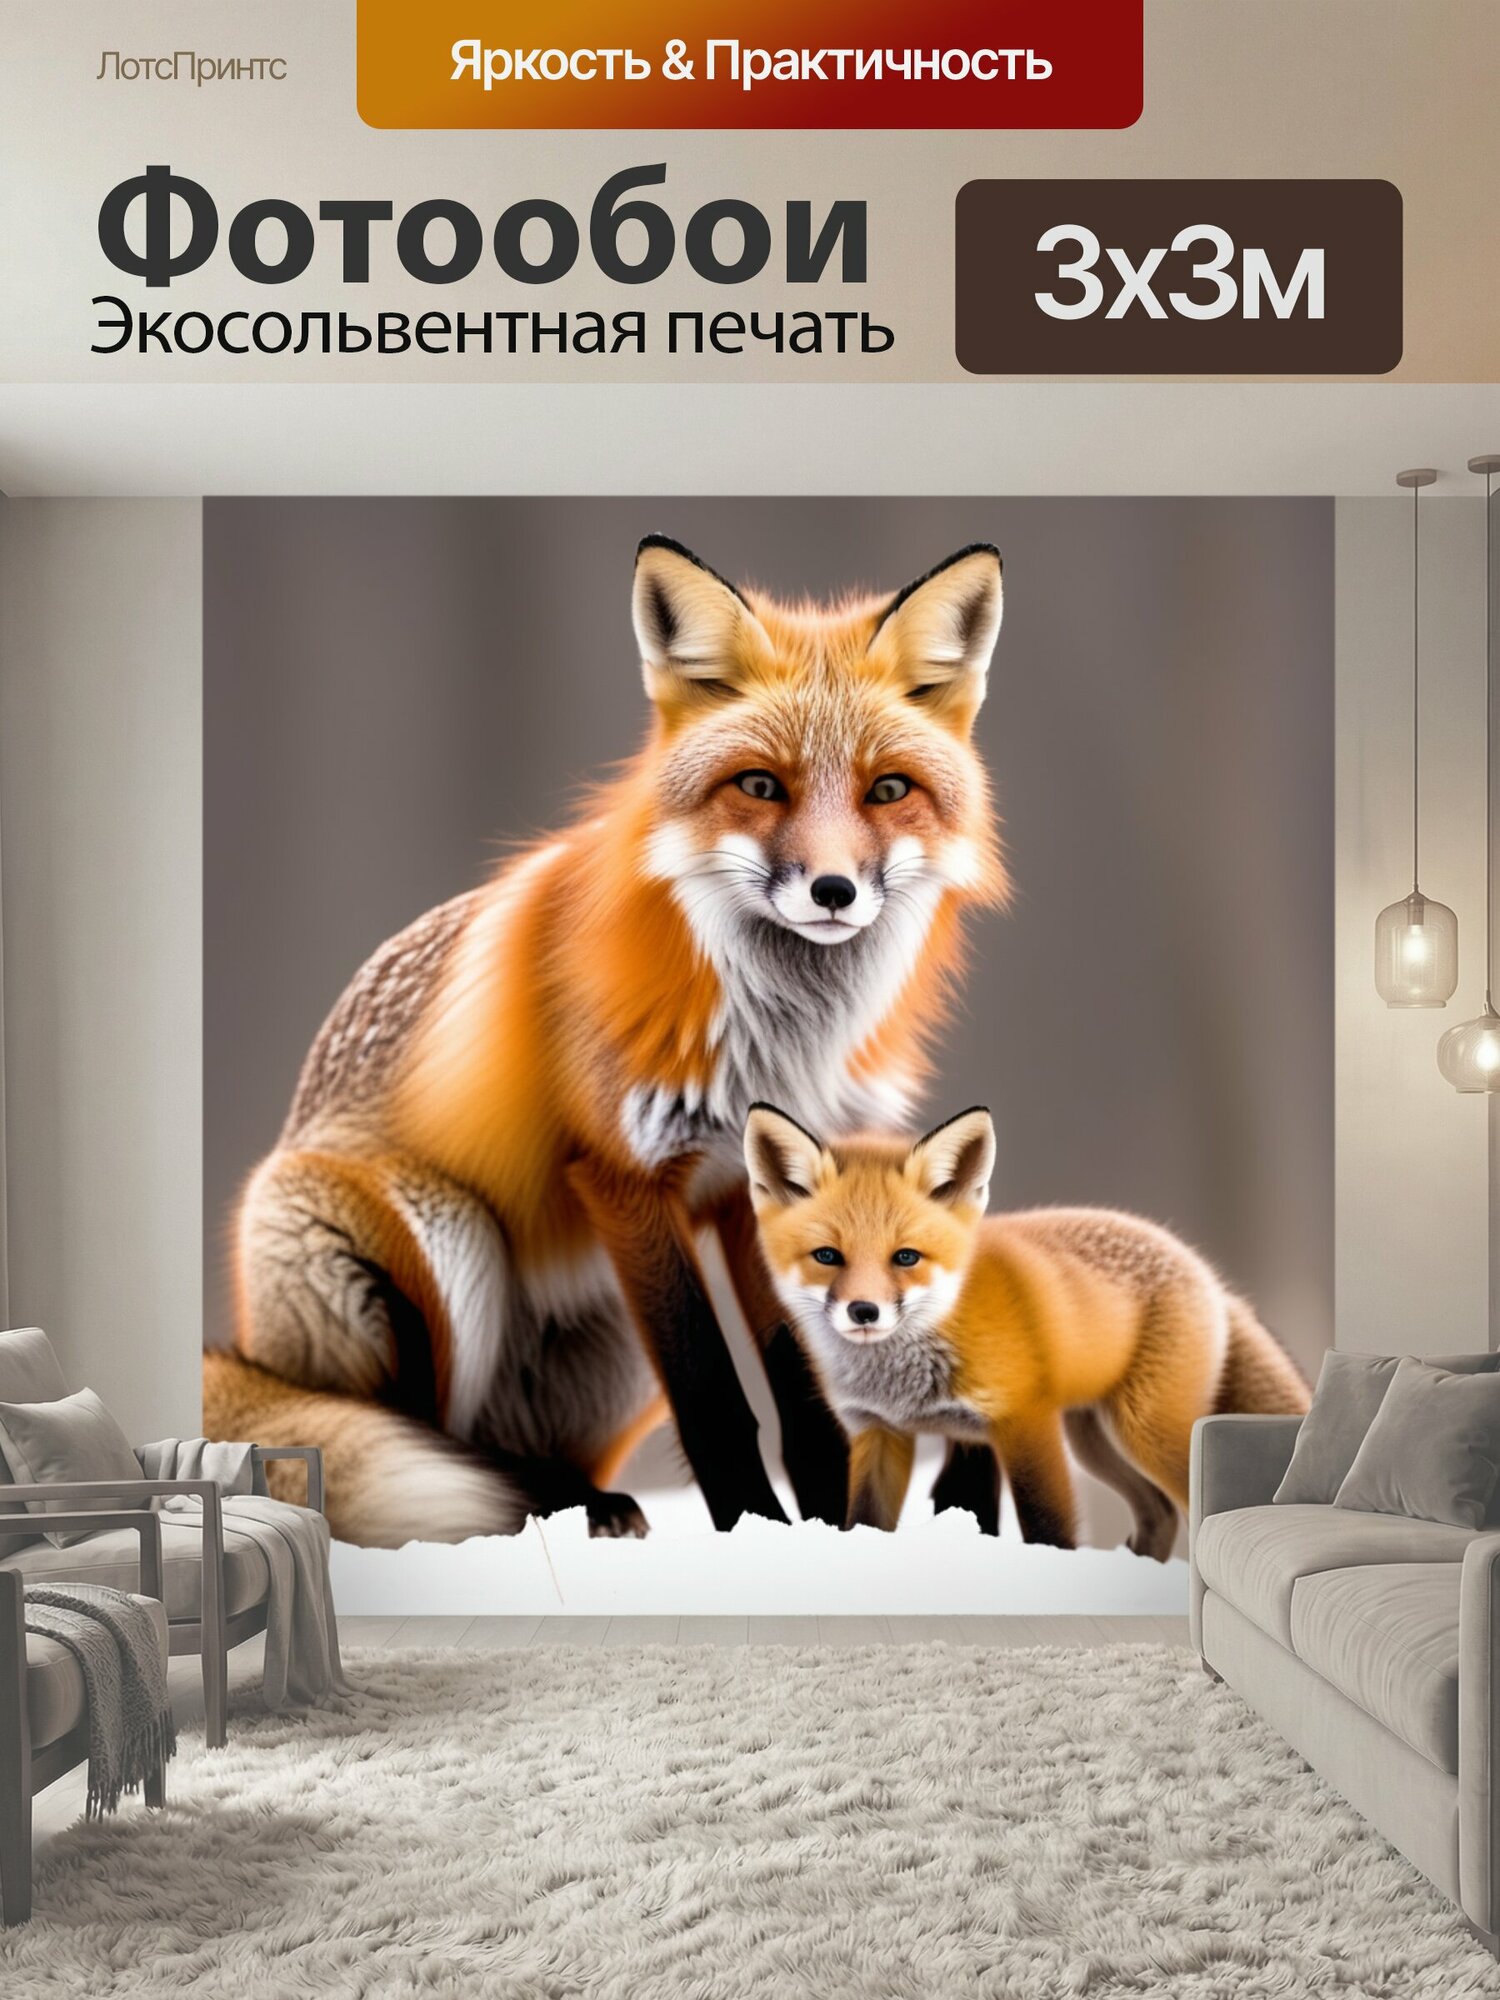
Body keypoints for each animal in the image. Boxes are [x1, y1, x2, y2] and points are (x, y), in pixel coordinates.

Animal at [206, 536, 1008, 1548]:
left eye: (889, 790)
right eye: (760, 785)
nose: (833, 891)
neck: (779, 1033)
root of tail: (254, 1355)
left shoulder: (759, 1189)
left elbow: (803, 1400)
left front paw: (831, 1535)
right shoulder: (627, 1175)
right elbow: (716, 1399)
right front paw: (753, 1533)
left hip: (610, 1357)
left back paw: (577, 1501)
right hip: (444, 1237)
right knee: (412, 1433)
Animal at [744, 1103, 1310, 1554]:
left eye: (906, 1257)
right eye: (827, 1257)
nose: (864, 1311)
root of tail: (1206, 1271)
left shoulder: (1026, 1423)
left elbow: (1049, 1528)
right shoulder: (880, 1432)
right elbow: (865, 1521)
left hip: (1148, 1431)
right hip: (1093, 1439)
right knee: (1161, 1514)